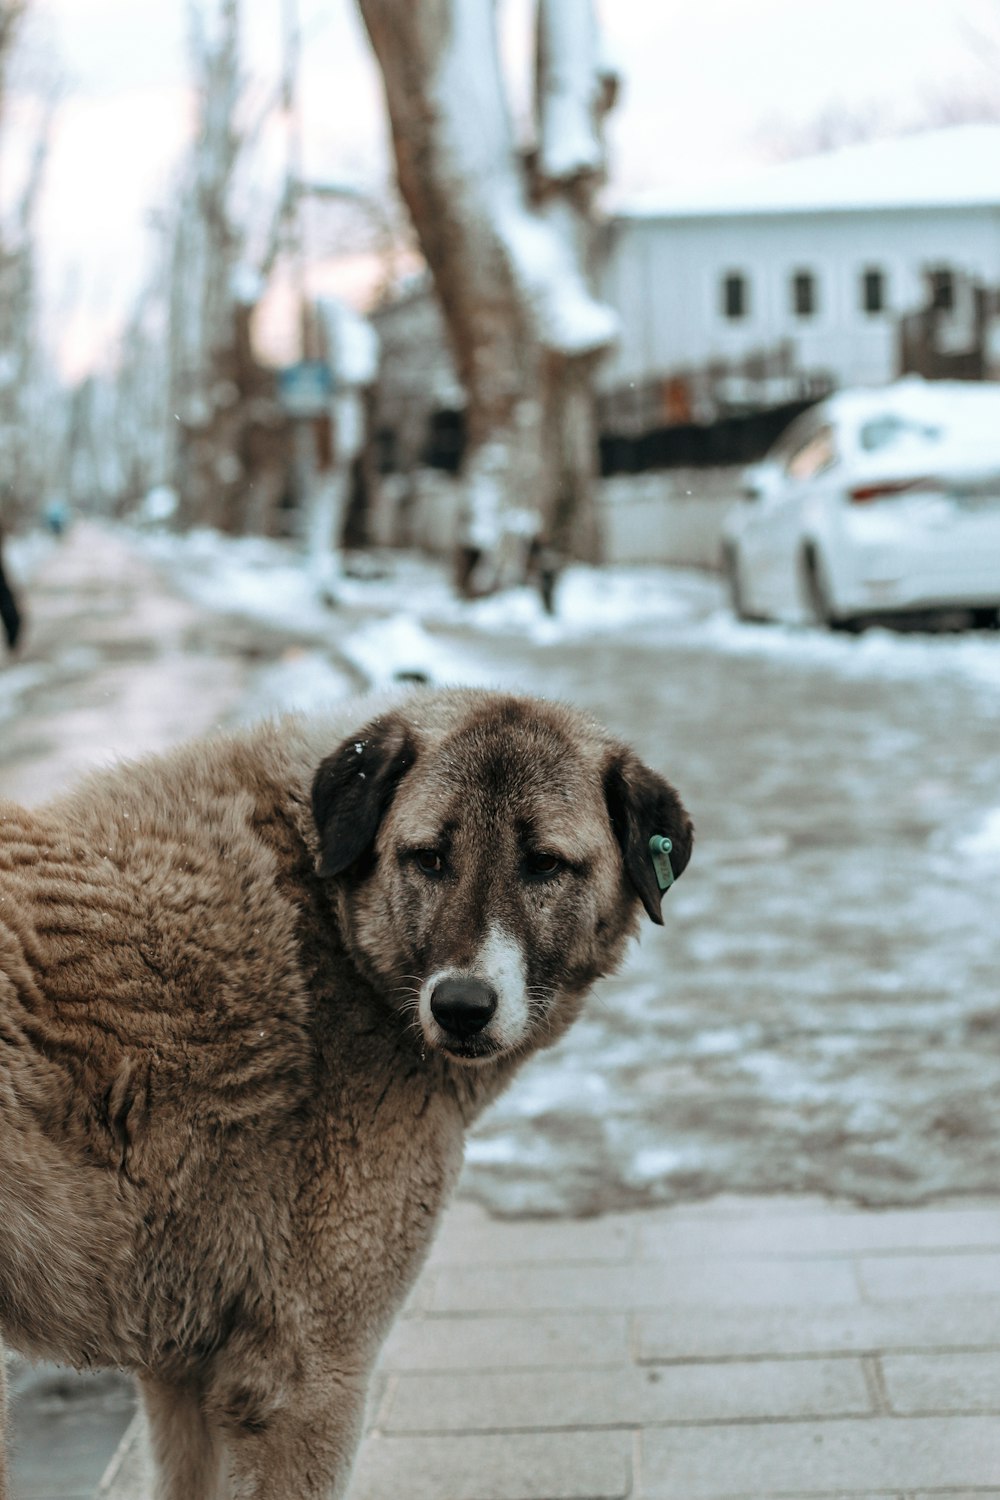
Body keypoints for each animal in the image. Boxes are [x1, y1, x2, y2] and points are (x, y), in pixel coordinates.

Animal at [0, 690, 689, 1500]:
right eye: (429, 857)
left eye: (544, 864)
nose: (460, 1007)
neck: (333, 921)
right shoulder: (306, 1381)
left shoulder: (182, 1376)